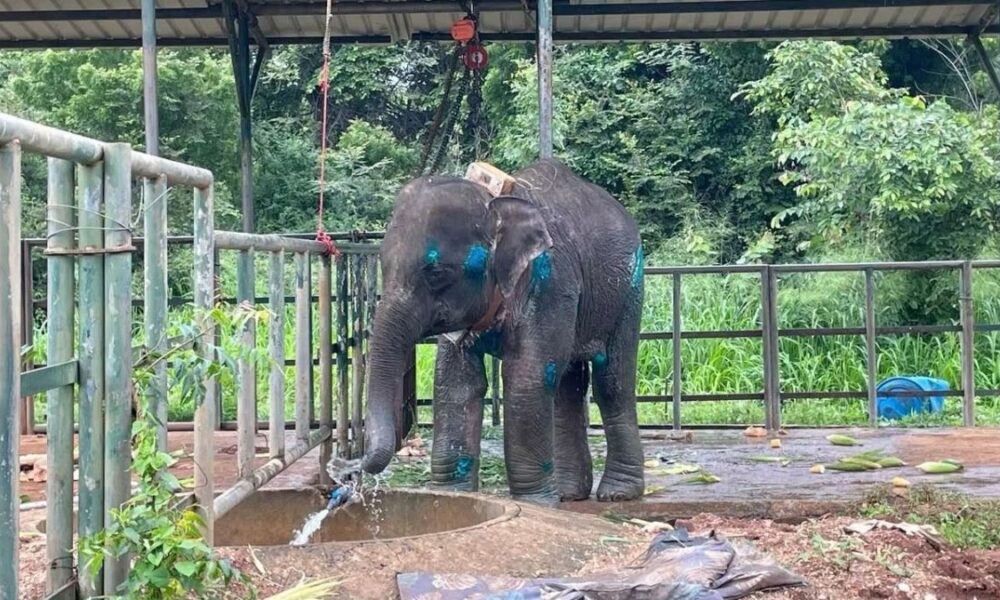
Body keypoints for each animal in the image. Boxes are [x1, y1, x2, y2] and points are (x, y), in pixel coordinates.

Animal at [360, 158, 645, 505]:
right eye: (383, 264)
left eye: (436, 272)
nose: (358, 468)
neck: (493, 198)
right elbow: (456, 382)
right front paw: (451, 495)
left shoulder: (549, 281)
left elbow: (526, 376)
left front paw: (533, 503)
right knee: (566, 383)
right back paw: (568, 494)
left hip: (629, 289)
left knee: (611, 381)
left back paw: (617, 494)